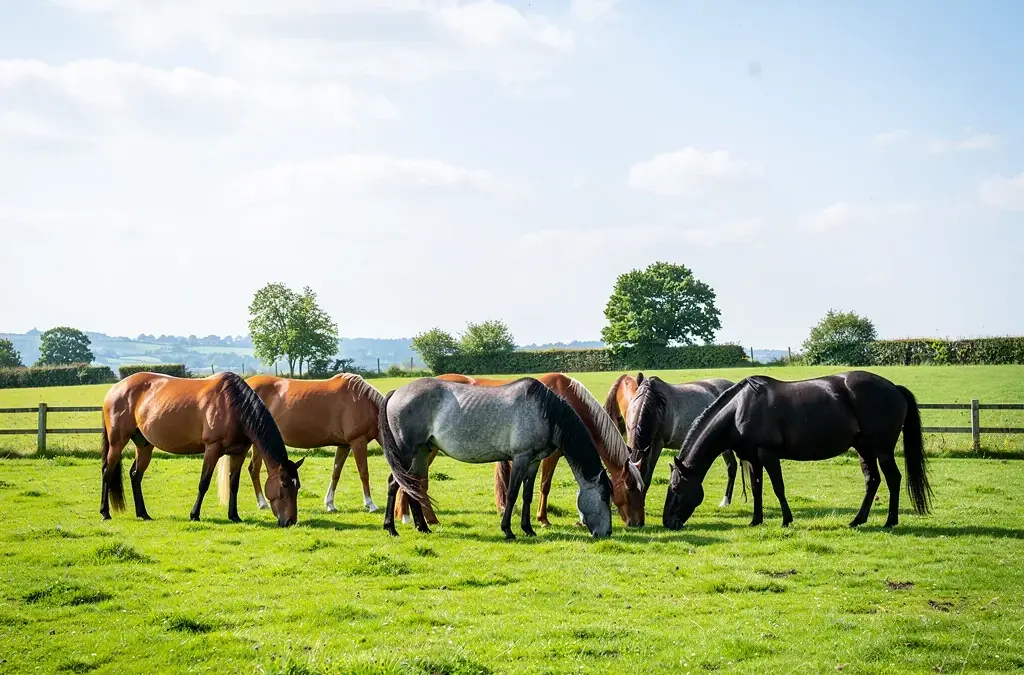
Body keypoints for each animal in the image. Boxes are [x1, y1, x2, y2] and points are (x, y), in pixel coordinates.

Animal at [99, 371, 304, 527]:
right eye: (284, 484)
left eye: (298, 486)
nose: (290, 521)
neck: (233, 405)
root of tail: (115, 388)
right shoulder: (212, 449)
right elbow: (203, 483)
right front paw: (194, 514)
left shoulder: (239, 452)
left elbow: (234, 484)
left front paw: (234, 515)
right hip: (117, 442)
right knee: (107, 472)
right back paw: (105, 513)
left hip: (144, 445)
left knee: (136, 475)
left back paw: (143, 513)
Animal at [242, 373, 380, 514]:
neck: (364, 402)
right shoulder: (358, 441)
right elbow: (364, 473)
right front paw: (371, 504)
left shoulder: (344, 445)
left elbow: (336, 473)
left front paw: (330, 504)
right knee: (254, 469)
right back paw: (263, 504)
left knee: (254, 469)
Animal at [394, 373, 644, 528]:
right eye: (630, 488)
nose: (638, 523)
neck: (561, 400)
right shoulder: (550, 455)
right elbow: (544, 486)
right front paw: (542, 519)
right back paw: (409, 517)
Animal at [662, 370, 932, 530]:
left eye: (675, 488)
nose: (668, 523)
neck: (740, 409)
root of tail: (894, 388)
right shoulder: (752, 458)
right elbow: (757, 488)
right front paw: (756, 520)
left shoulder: (768, 454)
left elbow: (778, 487)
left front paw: (786, 520)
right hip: (863, 449)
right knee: (872, 480)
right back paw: (857, 520)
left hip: (882, 449)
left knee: (893, 479)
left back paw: (890, 522)